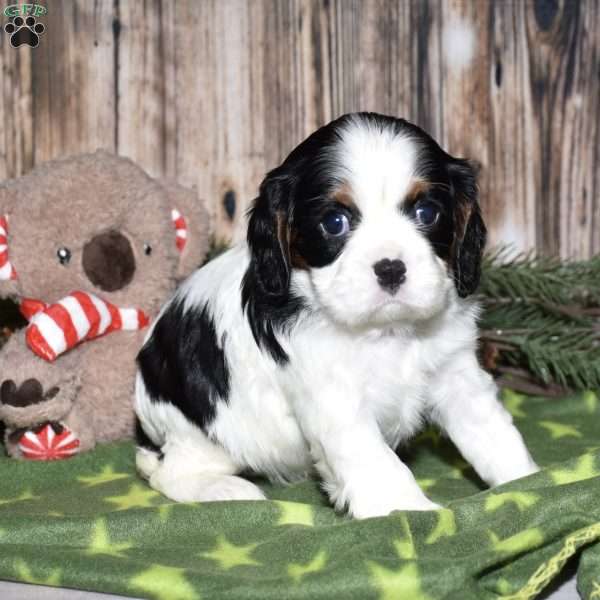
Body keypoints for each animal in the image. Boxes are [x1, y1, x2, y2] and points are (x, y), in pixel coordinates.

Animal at [134, 115, 536, 516]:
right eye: (335, 222)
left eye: (427, 213)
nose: (391, 268)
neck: (387, 332)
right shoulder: (335, 399)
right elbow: (377, 460)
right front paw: (409, 510)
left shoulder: (456, 375)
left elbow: (490, 430)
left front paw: (527, 482)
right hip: (205, 431)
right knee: (169, 474)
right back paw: (227, 491)